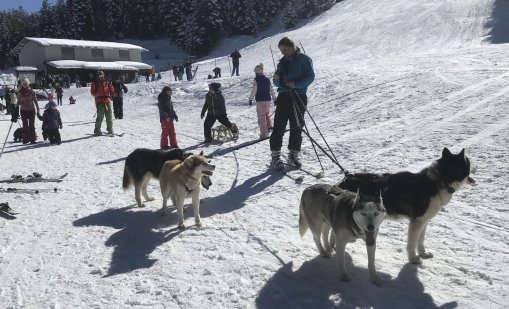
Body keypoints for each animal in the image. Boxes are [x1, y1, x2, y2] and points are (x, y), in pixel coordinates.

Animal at [336, 147, 474, 262]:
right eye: (468, 166)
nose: (473, 180)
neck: (437, 181)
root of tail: (344, 180)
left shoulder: (424, 221)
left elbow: (421, 240)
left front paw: (423, 254)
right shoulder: (416, 223)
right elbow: (412, 243)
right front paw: (413, 259)